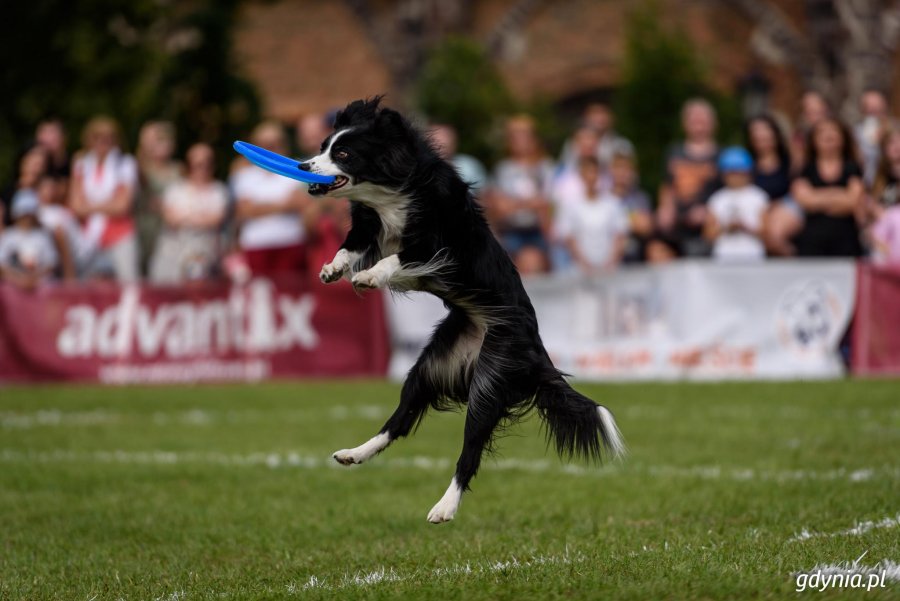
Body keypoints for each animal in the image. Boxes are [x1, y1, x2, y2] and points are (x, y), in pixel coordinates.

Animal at [302, 97, 624, 520]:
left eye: (342, 154)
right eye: (323, 146)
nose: (303, 166)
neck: (393, 193)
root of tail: (538, 353)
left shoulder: (442, 248)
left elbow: (396, 259)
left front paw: (368, 277)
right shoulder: (369, 226)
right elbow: (351, 246)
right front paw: (332, 269)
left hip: (492, 376)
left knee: (469, 450)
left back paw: (444, 507)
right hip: (433, 365)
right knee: (399, 421)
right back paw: (353, 454)